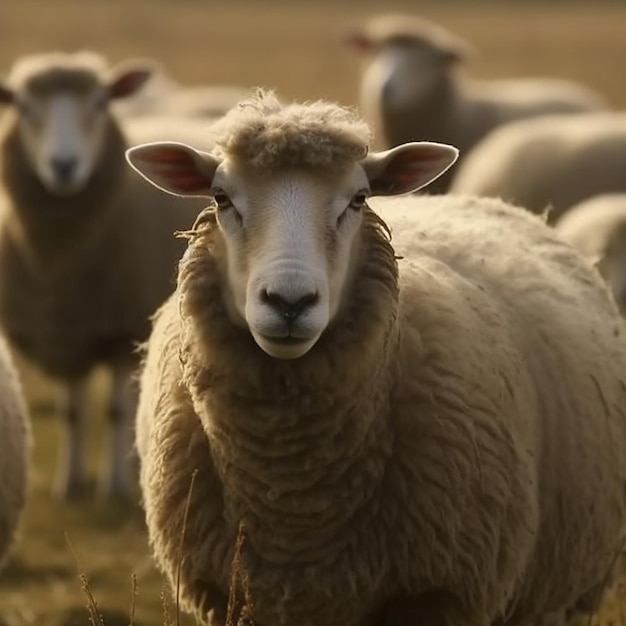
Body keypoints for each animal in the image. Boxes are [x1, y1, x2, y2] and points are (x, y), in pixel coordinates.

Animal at [0, 50, 207, 498]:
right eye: (23, 107)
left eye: (99, 102)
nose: (64, 166)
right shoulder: (66, 331)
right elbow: (71, 412)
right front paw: (70, 483)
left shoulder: (121, 329)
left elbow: (114, 410)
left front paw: (113, 487)